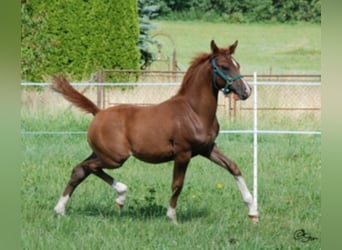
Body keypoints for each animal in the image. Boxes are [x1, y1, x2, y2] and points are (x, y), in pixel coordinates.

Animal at [52, 40, 258, 223]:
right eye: (224, 67)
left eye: (237, 65)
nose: (246, 91)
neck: (193, 111)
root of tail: (99, 112)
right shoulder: (183, 153)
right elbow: (177, 185)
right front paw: (172, 217)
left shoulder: (206, 148)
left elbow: (233, 167)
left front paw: (253, 211)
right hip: (115, 158)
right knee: (87, 167)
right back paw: (120, 195)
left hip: (102, 153)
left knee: (80, 170)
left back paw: (61, 209)